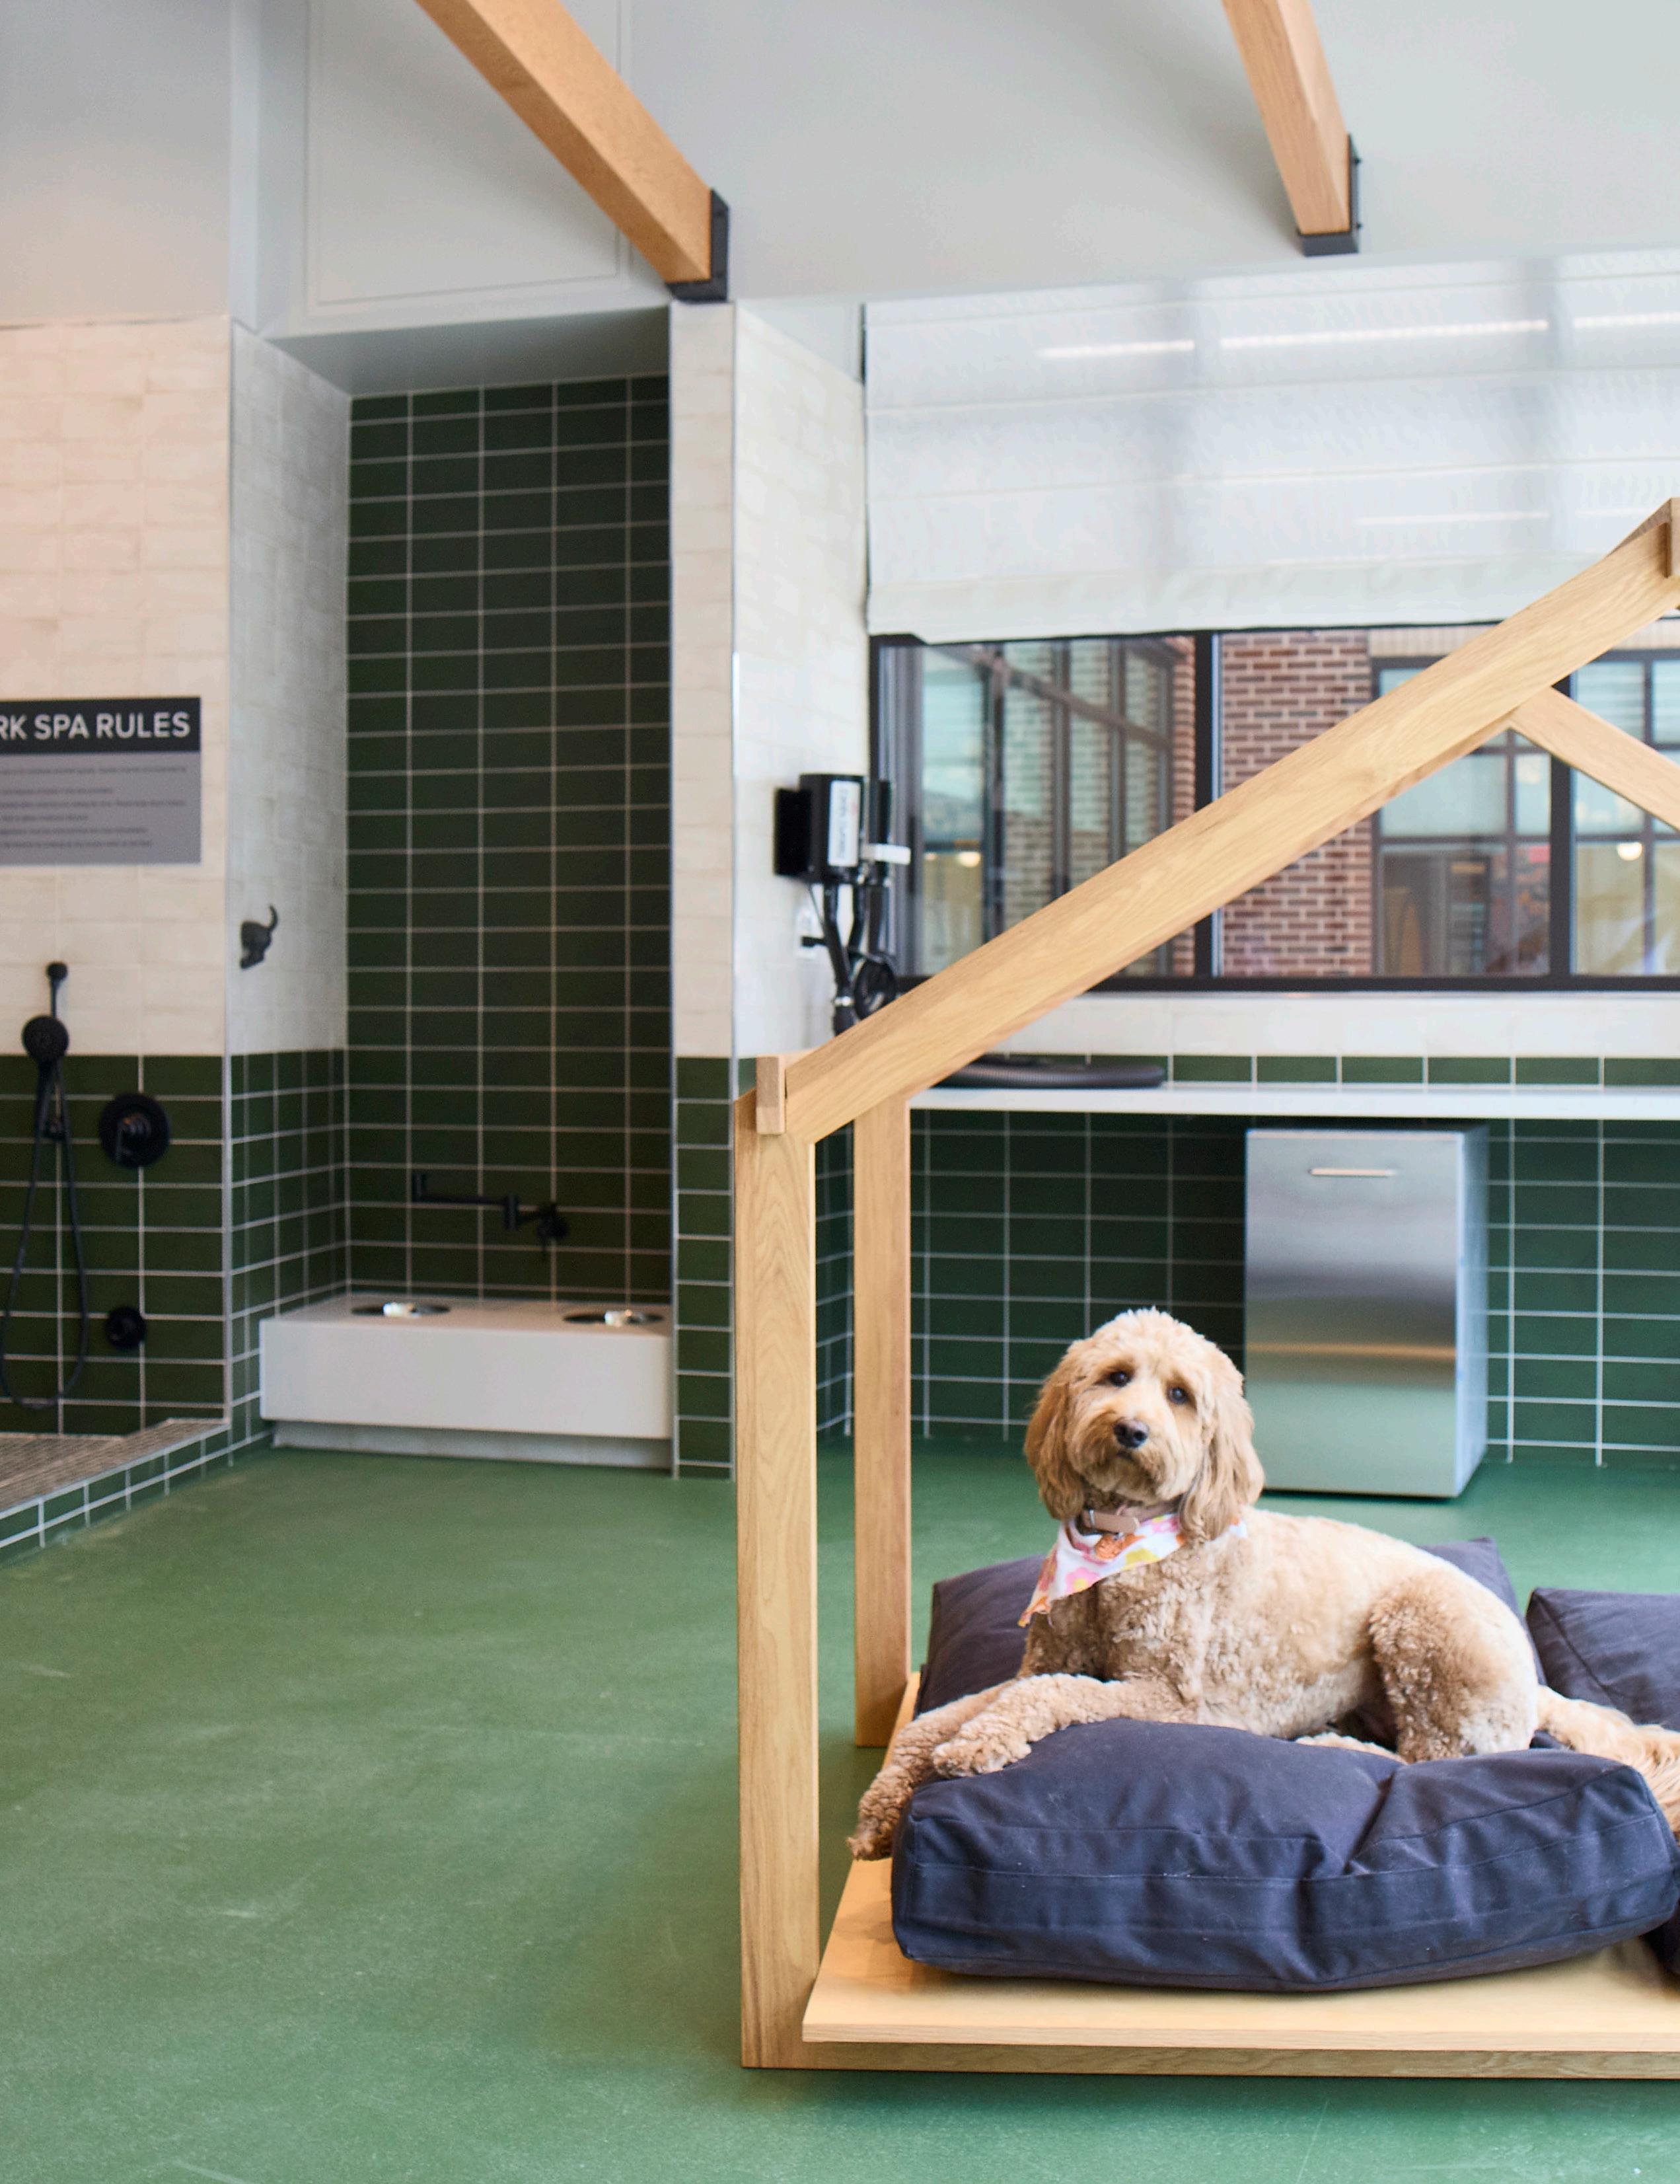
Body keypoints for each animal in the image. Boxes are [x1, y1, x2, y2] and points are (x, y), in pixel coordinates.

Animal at [851, 1308, 1680, 1859]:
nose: (1130, 1430)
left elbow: (1039, 1699)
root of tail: (1534, 1678)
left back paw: (1336, 1749)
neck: (1118, 1547)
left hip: (1418, 1622)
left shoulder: (1166, 1697)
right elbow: (935, 1716)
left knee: (1433, 1762)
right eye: (1116, 1377)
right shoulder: (1044, 1661)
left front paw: (974, 1747)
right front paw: (880, 1810)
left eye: (1179, 1395)